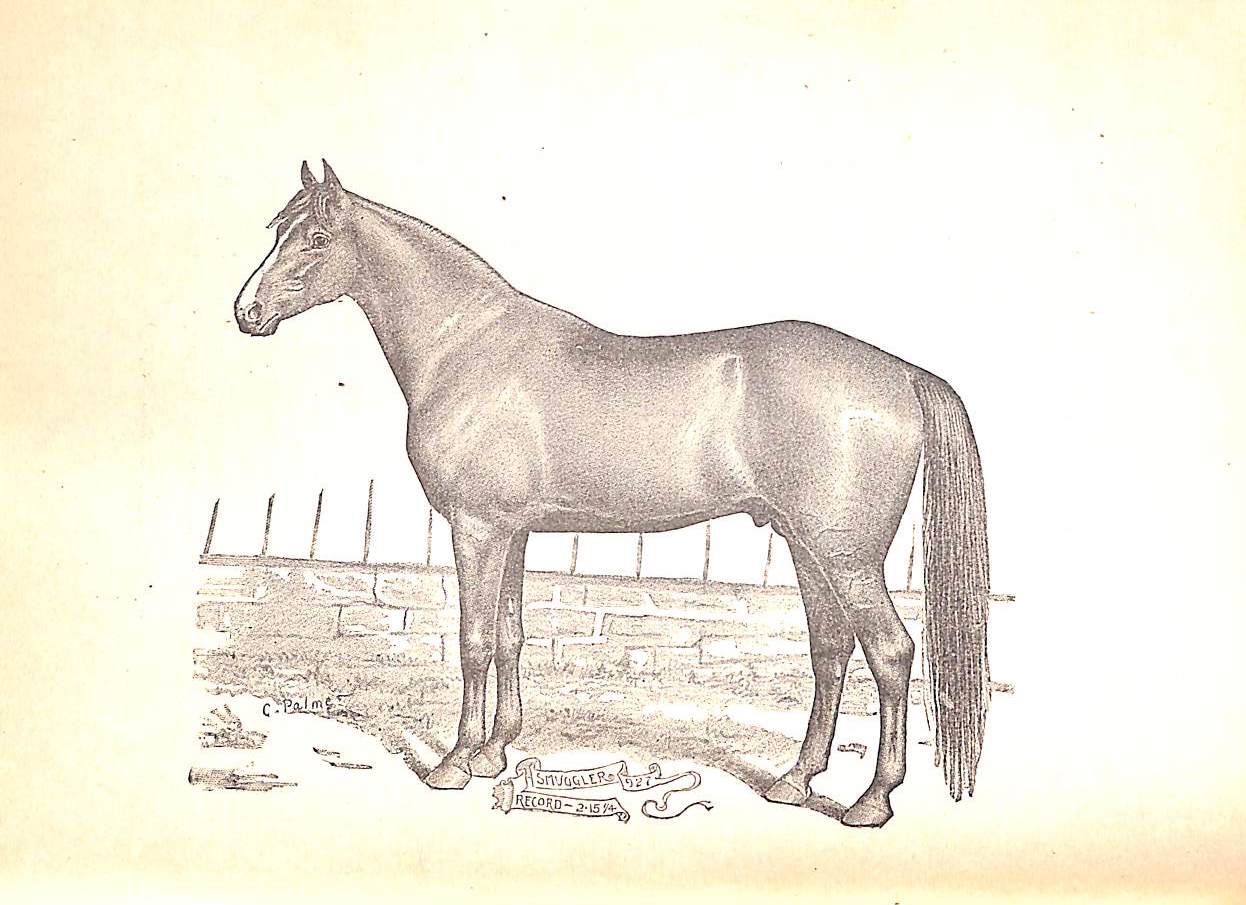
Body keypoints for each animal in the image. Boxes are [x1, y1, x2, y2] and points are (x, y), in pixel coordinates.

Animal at [233, 161, 991, 827]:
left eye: (317, 236)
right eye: (278, 228)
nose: (247, 311)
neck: (466, 346)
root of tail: (900, 373)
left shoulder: (476, 528)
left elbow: (473, 640)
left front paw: (452, 762)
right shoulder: (512, 531)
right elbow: (510, 635)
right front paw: (493, 752)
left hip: (847, 557)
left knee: (890, 653)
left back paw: (872, 800)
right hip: (809, 548)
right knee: (831, 650)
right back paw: (794, 780)